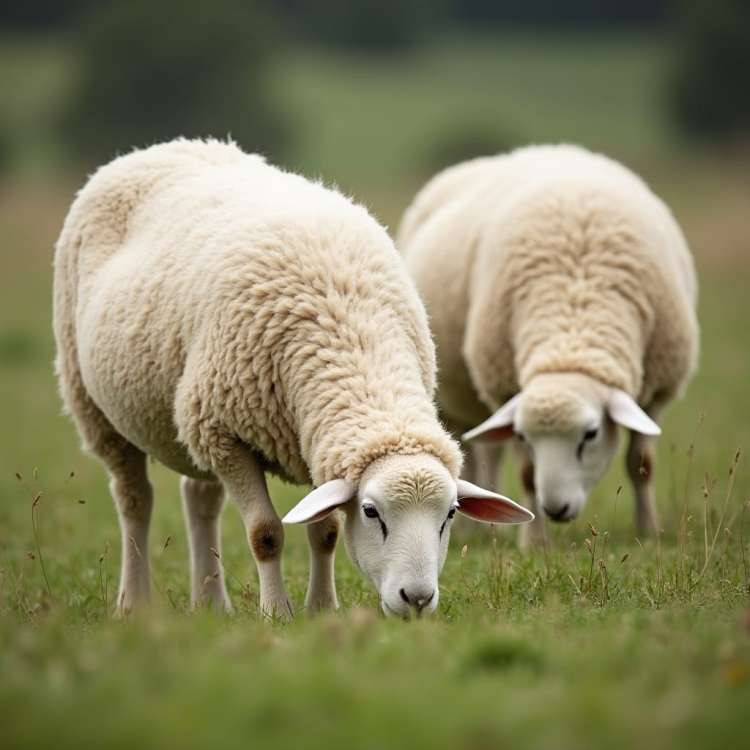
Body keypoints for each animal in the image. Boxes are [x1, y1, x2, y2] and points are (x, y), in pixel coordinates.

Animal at [53, 138, 533, 619]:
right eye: (371, 511)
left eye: (450, 513)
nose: (416, 599)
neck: (351, 333)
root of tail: (161, 147)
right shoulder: (225, 435)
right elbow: (265, 534)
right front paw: (276, 613)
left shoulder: (314, 445)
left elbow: (325, 533)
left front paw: (321, 608)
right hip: (96, 407)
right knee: (135, 499)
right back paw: (133, 602)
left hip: (190, 420)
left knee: (199, 498)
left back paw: (211, 603)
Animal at [399, 144, 698, 547]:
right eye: (526, 435)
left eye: (591, 434)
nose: (556, 509)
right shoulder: (505, 389)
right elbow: (527, 472)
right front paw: (534, 542)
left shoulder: (656, 395)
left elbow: (641, 465)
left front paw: (649, 530)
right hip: (452, 396)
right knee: (478, 451)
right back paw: (476, 531)